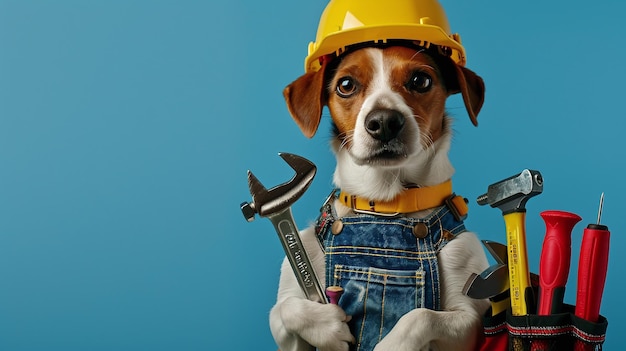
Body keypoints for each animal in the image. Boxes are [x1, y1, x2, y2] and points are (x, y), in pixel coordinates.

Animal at [270, 44, 490, 351]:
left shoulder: (469, 321)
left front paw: (392, 345)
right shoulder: (287, 315)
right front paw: (327, 324)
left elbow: (421, 316)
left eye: (421, 80)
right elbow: (286, 309)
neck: (384, 205)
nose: (384, 121)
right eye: (346, 85)